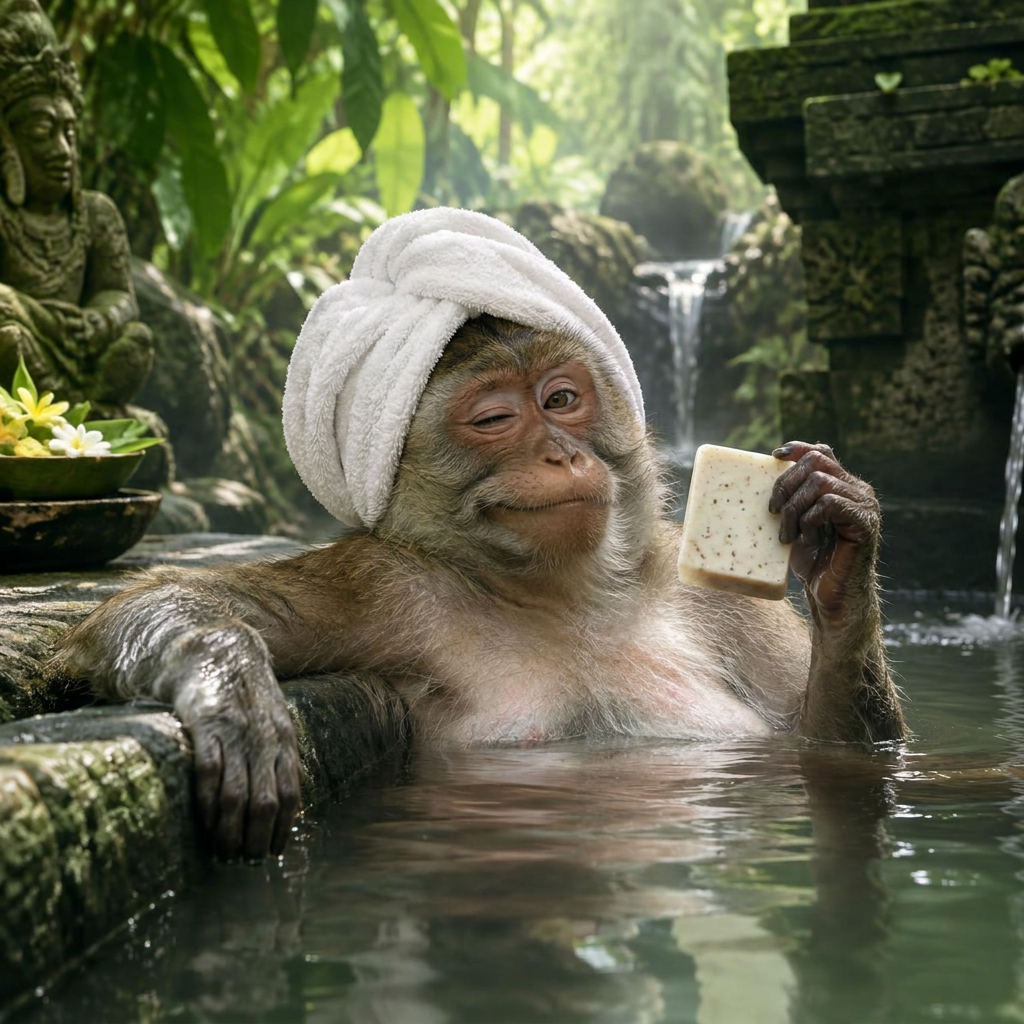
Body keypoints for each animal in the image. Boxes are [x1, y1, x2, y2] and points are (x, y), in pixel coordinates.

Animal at [48, 315, 905, 861]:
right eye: (493, 418)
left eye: (562, 399)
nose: (562, 453)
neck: (563, 594)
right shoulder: (387, 581)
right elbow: (167, 604)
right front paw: (235, 699)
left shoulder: (717, 601)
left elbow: (829, 743)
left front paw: (837, 534)